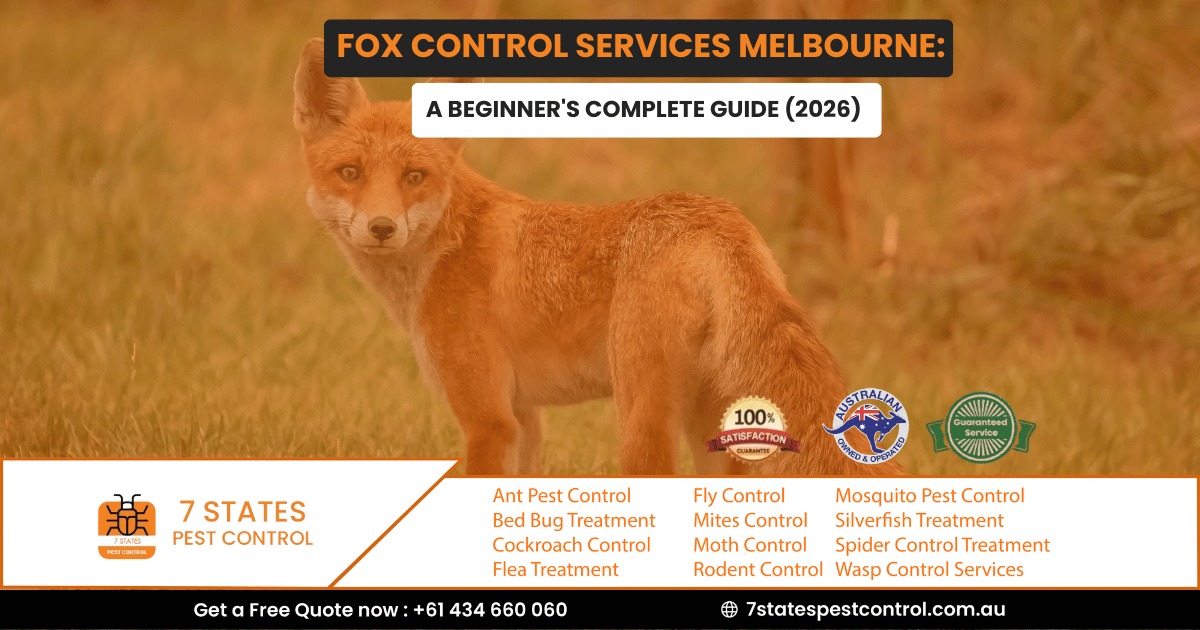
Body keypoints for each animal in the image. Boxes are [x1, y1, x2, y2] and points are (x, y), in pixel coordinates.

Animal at [292, 38, 902, 476]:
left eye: (414, 177)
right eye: (350, 173)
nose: (381, 227)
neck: (445, 249)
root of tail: (717, 218)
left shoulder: (488, 420)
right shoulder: (525, 418)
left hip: (639, 419)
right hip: (717, 429)